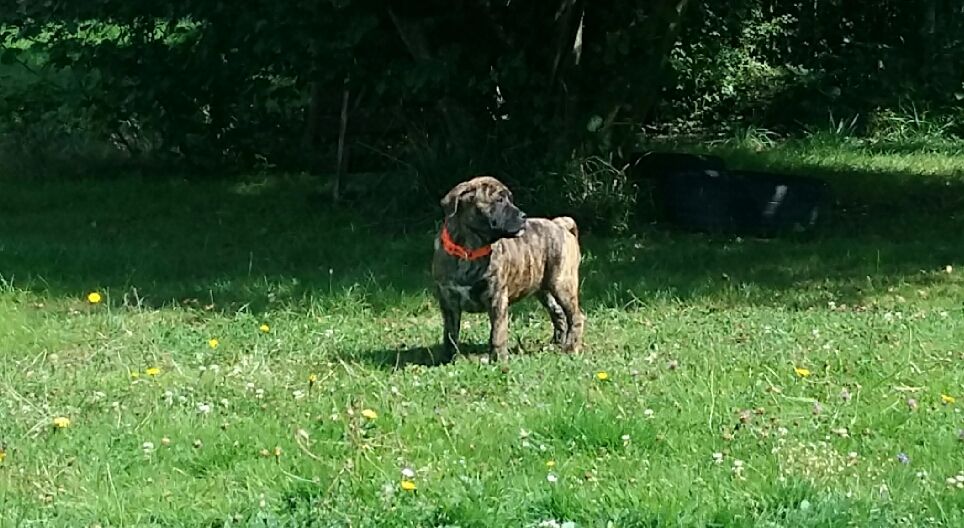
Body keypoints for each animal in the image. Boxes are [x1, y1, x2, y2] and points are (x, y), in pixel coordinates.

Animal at [434, 176, 584, 364]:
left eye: (510, 200)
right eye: (499, 200)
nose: (523, 216)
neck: (470, 249)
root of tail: (560, 224)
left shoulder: (497, 297)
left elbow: (497, 332)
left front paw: (498, 359)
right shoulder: (448, 301)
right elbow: (450, 333)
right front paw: (448, 358)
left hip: (562, 283)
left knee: (575, 316)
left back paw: (571, 348)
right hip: (544, 289)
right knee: (558, 313)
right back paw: (556, 344)